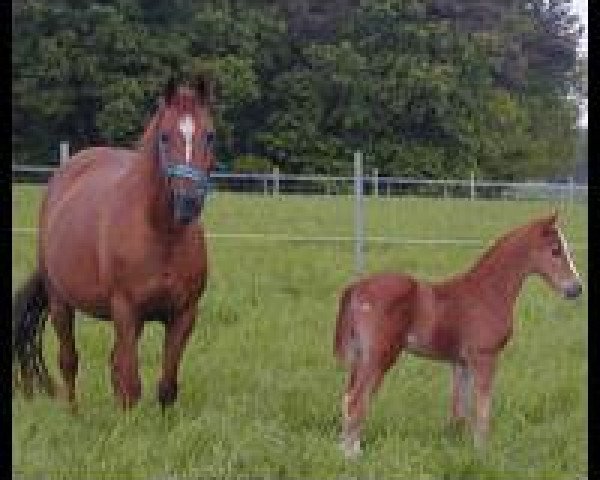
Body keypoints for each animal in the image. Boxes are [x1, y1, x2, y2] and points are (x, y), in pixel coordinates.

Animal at [332, 212, 580, 456]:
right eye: (556, 250)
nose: (576, 289)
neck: (487, 292)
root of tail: (357, 287)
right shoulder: (484, 357)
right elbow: (482, 408)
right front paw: (482, 454)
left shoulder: (461, 362)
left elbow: (460, 410)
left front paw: (456, 449)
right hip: (380, 356)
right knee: (356, 400)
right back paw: (352, 456)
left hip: (361, 356)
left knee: (348, 398)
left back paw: (349, 449)